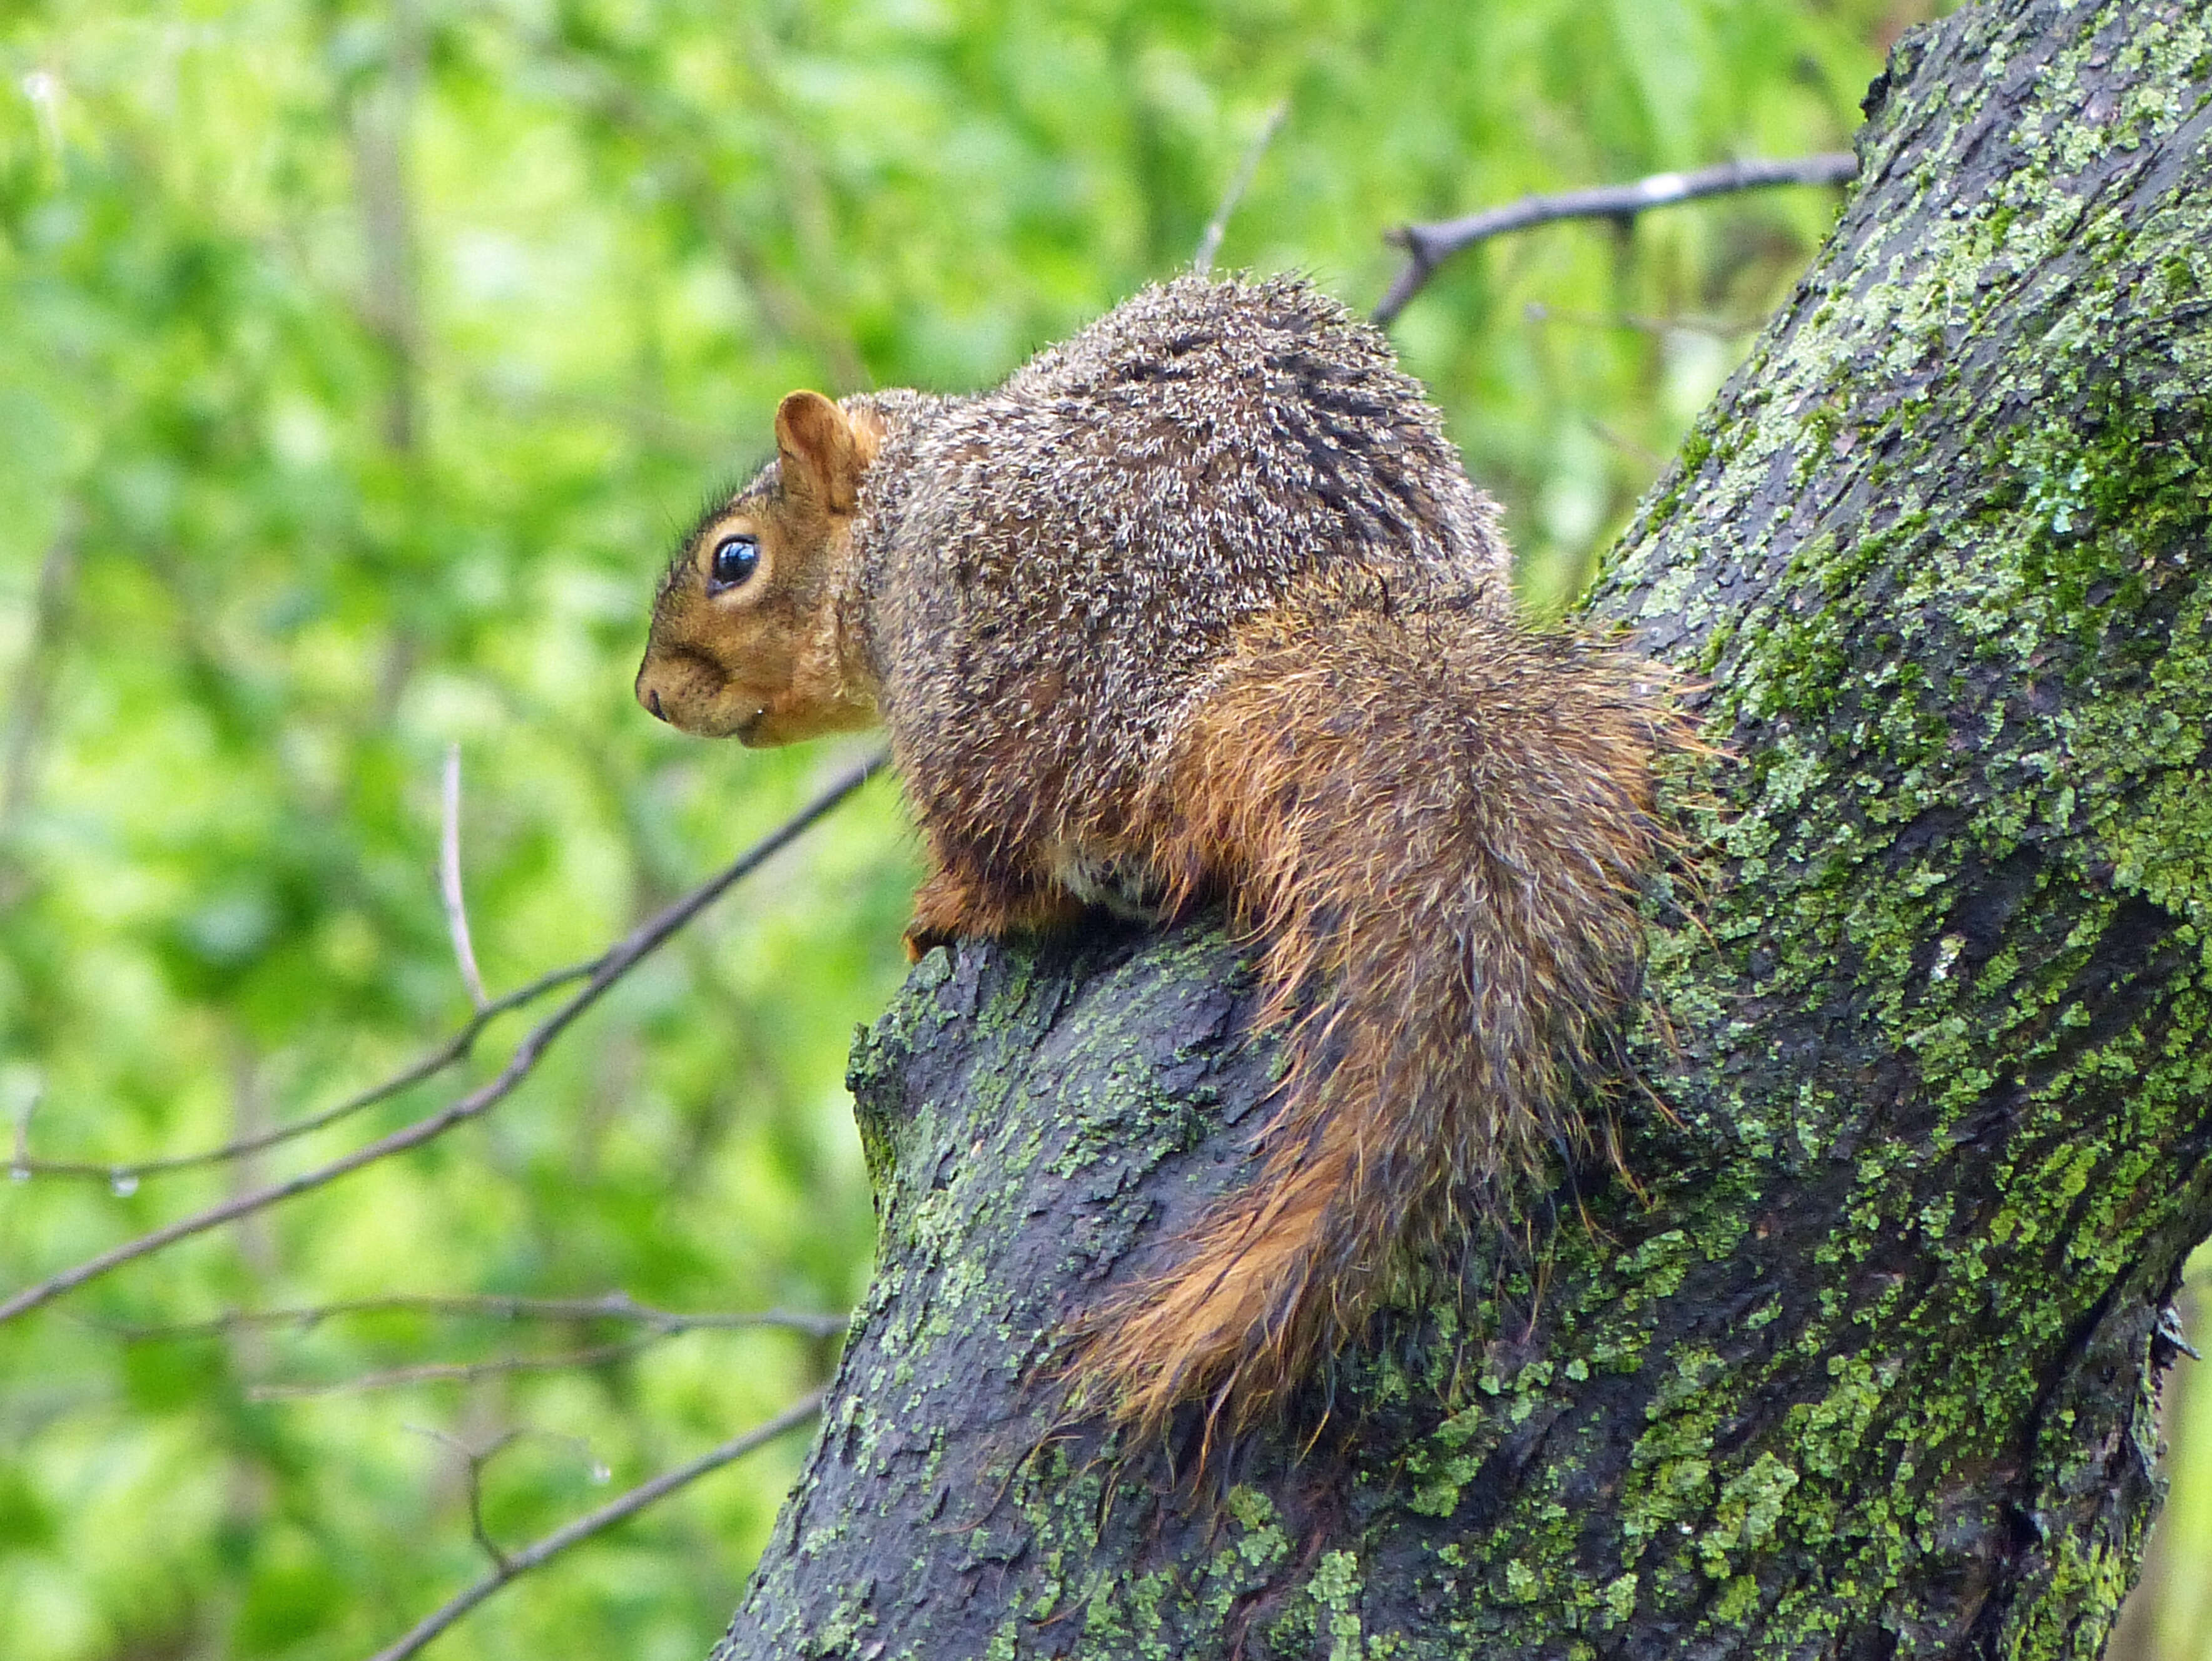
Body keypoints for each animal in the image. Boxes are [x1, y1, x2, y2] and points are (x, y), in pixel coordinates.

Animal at [637, 273, 1672, 1442]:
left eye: (734, 558)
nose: (650, 692)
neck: (902, 493)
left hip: (985, 709)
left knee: (1036, 860)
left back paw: (957, 904)